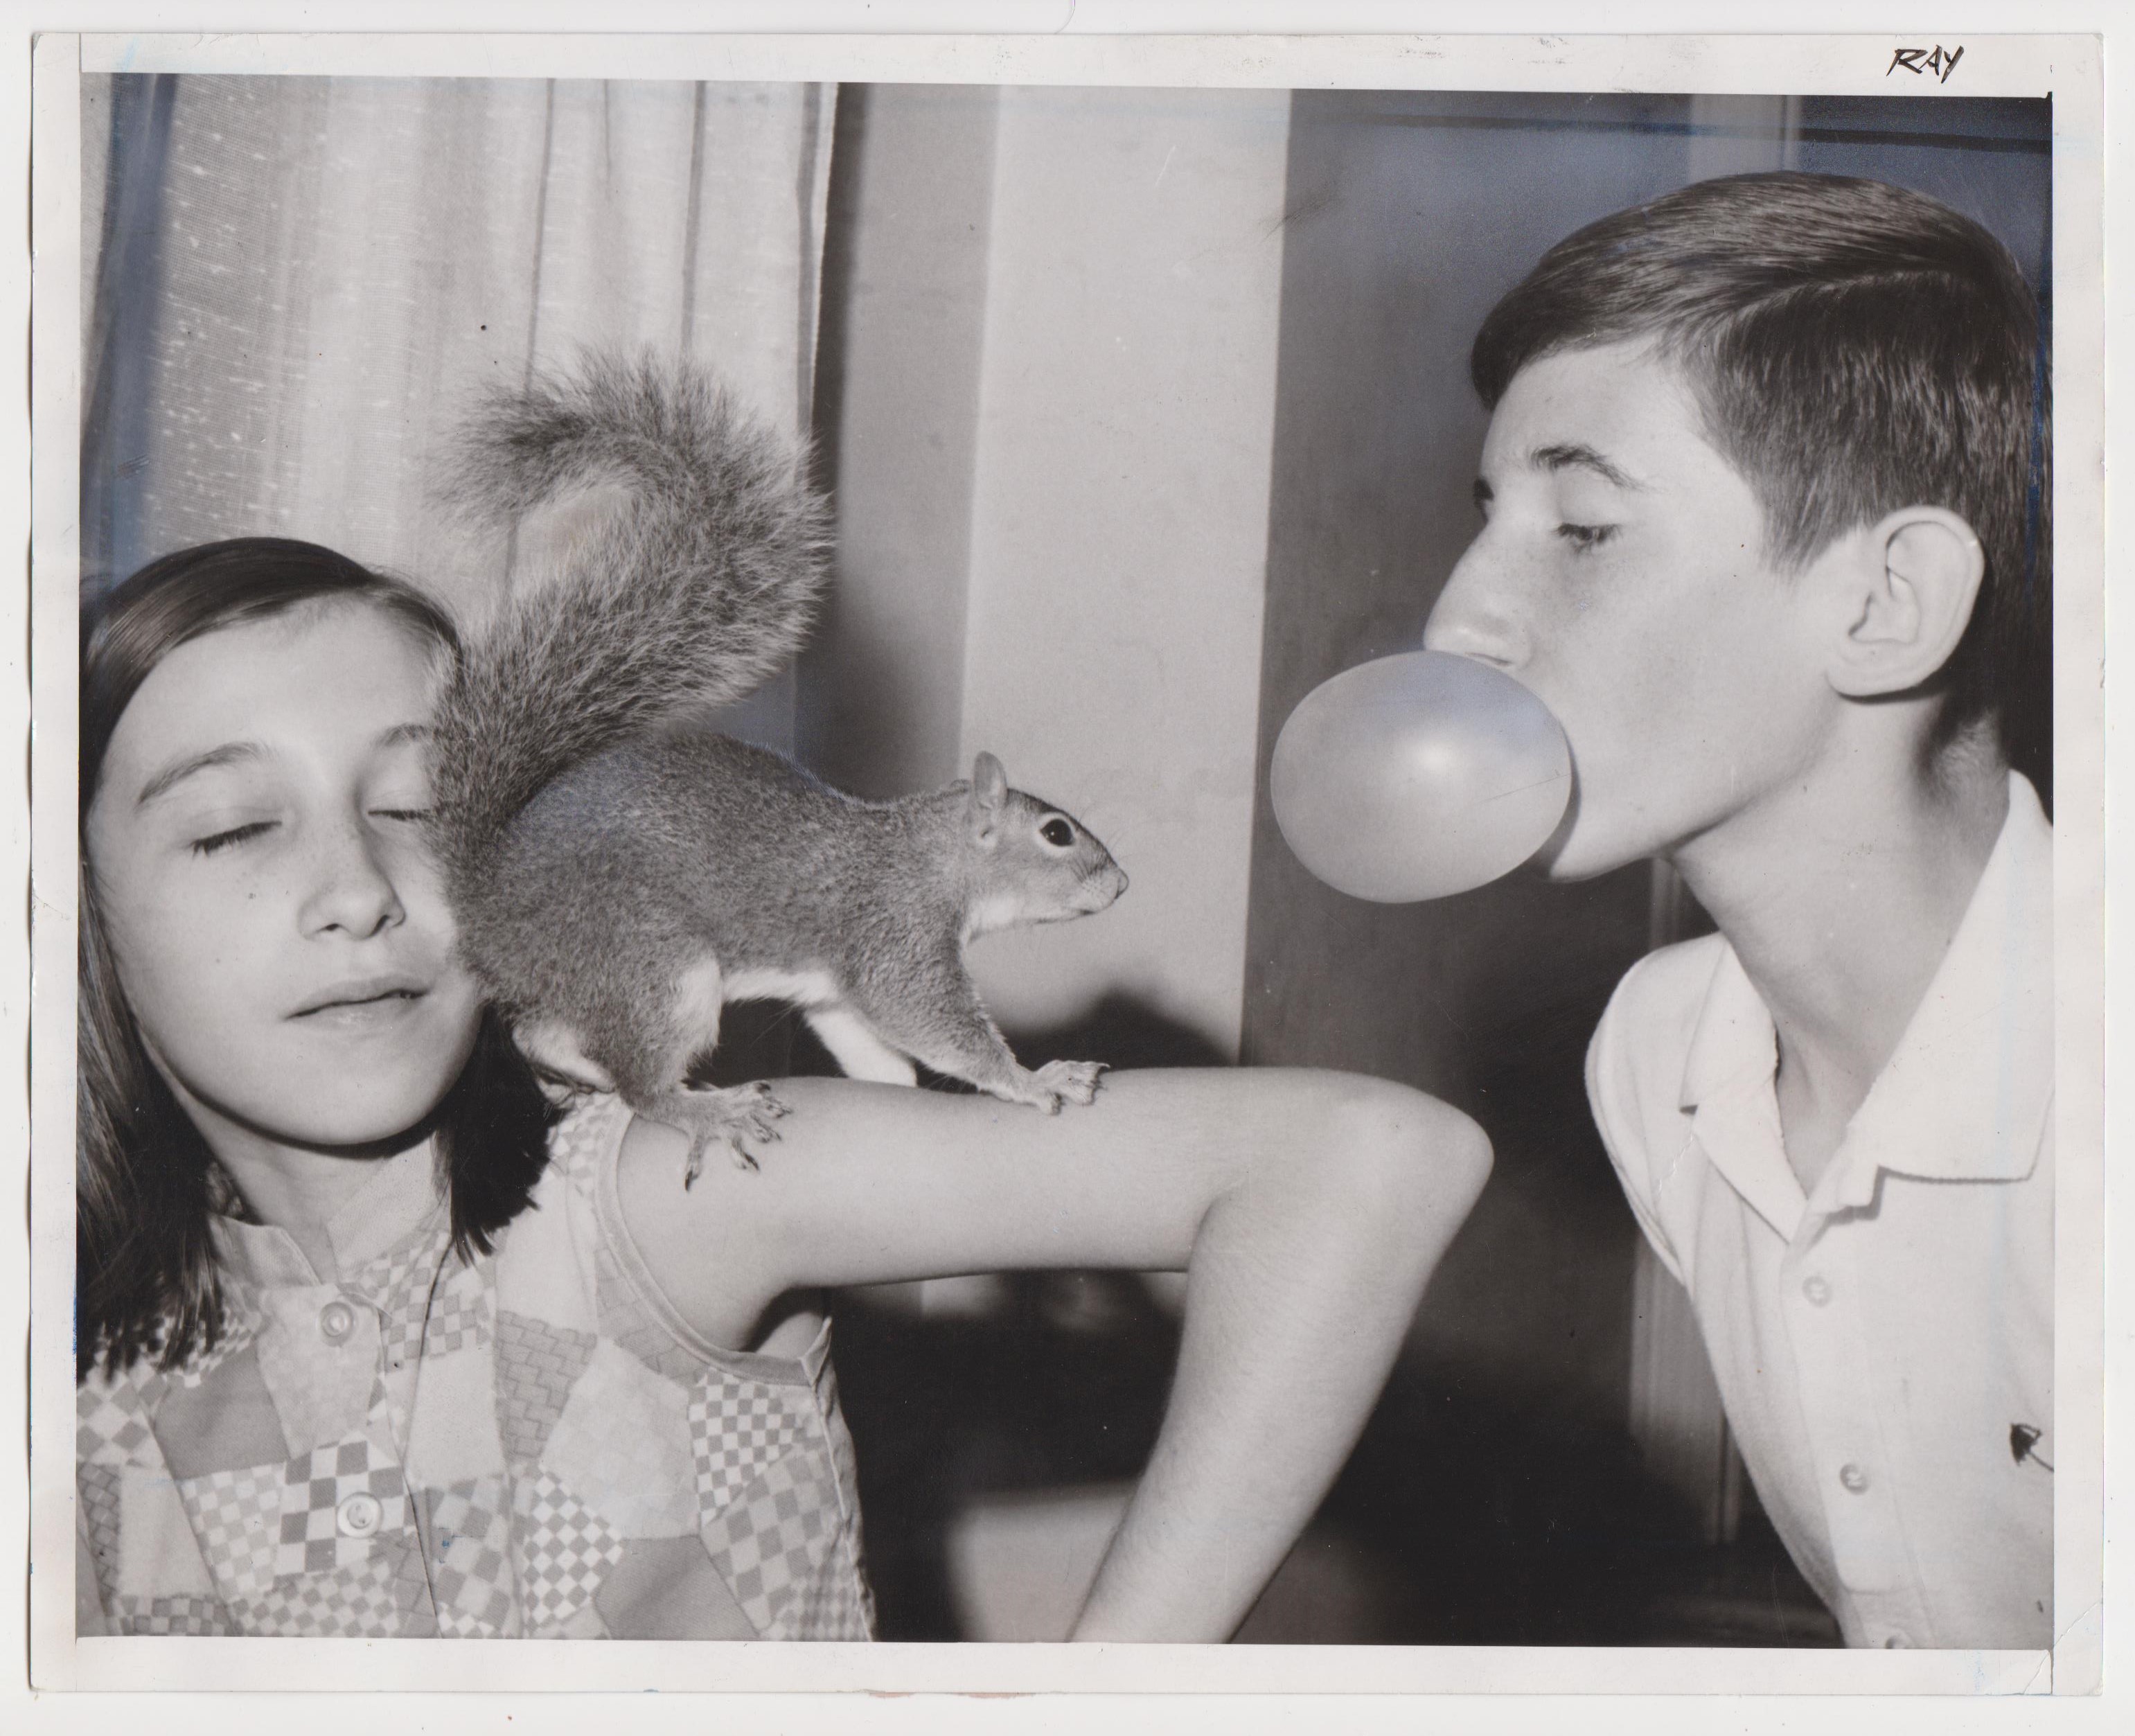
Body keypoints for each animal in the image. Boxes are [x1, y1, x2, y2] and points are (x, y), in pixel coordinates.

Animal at [433, 356, 1135, 1187]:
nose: (1121, 883)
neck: (927, 854)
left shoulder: (839, 992)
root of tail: (485, 896)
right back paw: (703, 1109)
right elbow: (933, 1022)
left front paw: (908, 1094)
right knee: (641, 1086)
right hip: (649, 960)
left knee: (542, 1034)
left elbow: (874, 1051)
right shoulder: (895, 938)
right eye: (1057, 833)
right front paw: (1033, 1081)